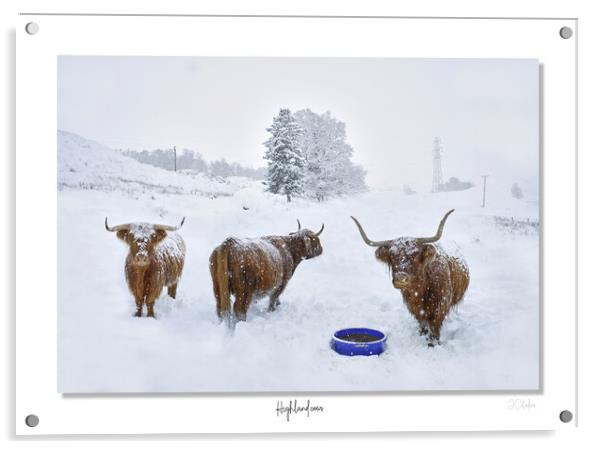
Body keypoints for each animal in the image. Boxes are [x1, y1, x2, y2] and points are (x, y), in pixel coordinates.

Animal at [346, 210, 468, 346]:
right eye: (391, 255)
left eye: (415, 254)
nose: (401, 278)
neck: (421, 290)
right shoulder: (415, 309)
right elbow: (422, 324)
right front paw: (422, 335)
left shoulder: (440, 307)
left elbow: (434, 328)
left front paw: (433, 344)